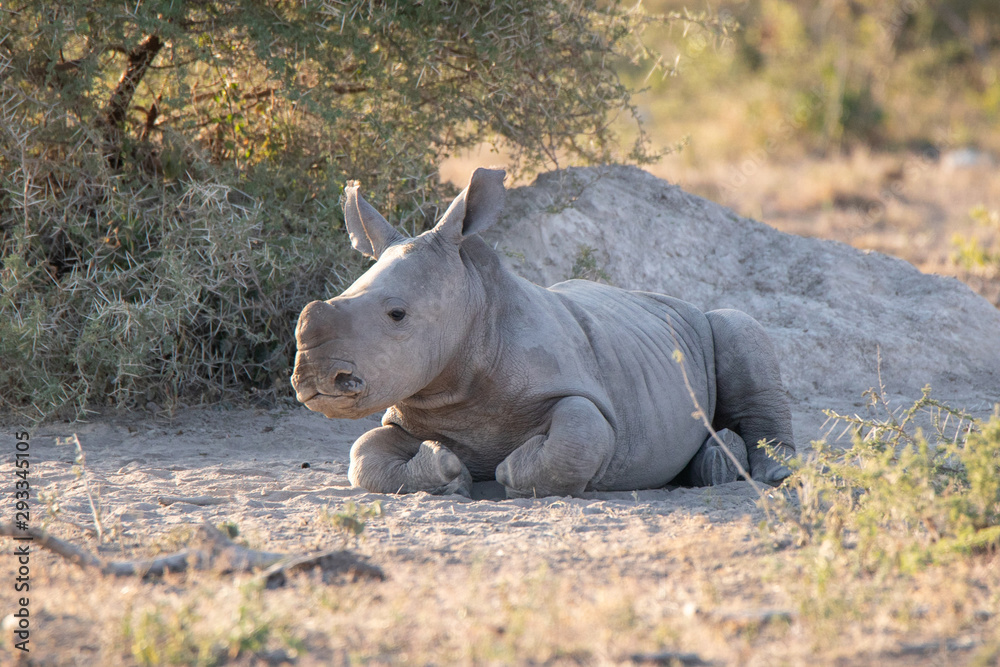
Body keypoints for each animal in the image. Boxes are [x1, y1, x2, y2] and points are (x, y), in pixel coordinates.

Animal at [291, 168, 795, 498]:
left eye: (397, 314)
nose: (314, 379)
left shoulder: (583, 392)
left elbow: (579, 433)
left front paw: (507, 470)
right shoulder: (409, 406)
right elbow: (364, 455)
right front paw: (450, 469)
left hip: (706, 322)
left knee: (738, 327)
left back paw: (770, 475)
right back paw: (714, 466)